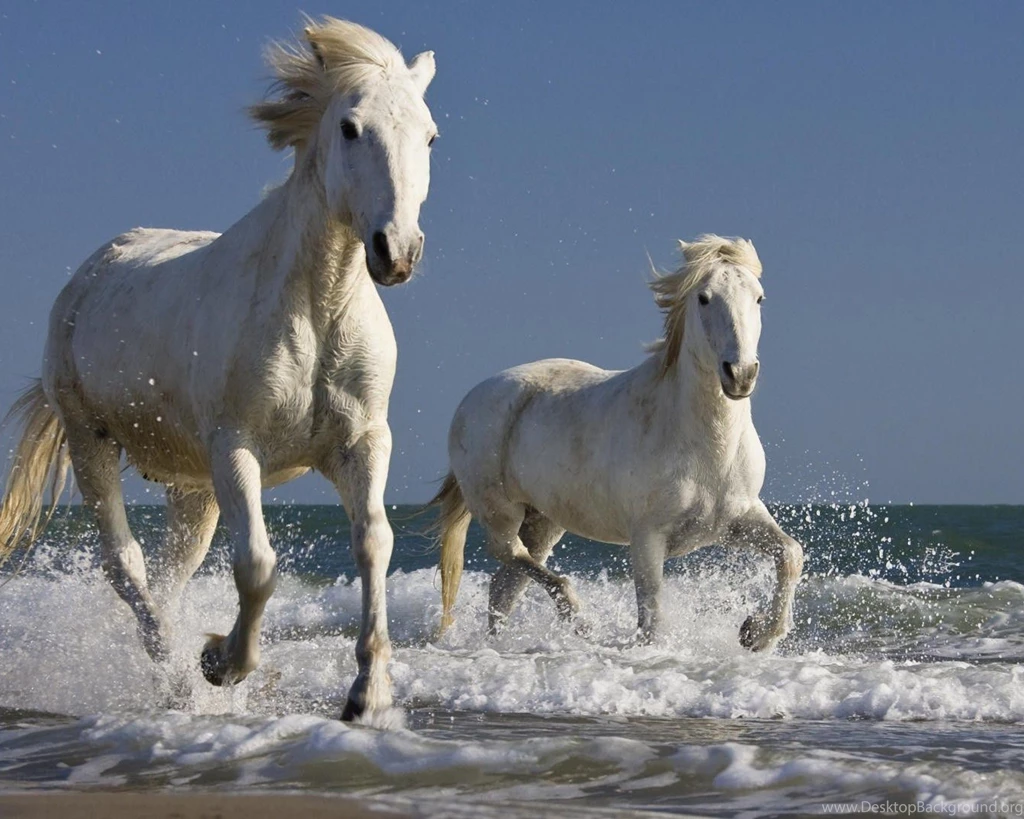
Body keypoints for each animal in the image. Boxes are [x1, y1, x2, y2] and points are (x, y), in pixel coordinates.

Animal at [0, 17, 439, 721]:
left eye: (429, 135)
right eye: (350, 127)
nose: (396, 251)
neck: (316, 307)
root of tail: (91, 272)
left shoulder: (363, 443)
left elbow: (374, 542)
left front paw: (367, 694)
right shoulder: (236, 447)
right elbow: (257, 564)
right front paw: (220, 664)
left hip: (192, 488)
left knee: (169, 576)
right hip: (92, 440)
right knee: (126, 566)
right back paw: (177, 675)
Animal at [432, 235, 804, 651]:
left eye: (759, 297)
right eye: (704, 298)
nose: (740, 374)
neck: (706, 448)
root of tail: (472, 397)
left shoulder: (737, 520)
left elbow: (791, 553)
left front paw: (756, 633)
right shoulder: (647, 539)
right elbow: (652, 619)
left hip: (543, 521)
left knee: (504, 585)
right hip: (500, 511)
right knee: (508, 554)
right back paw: (577, 617)